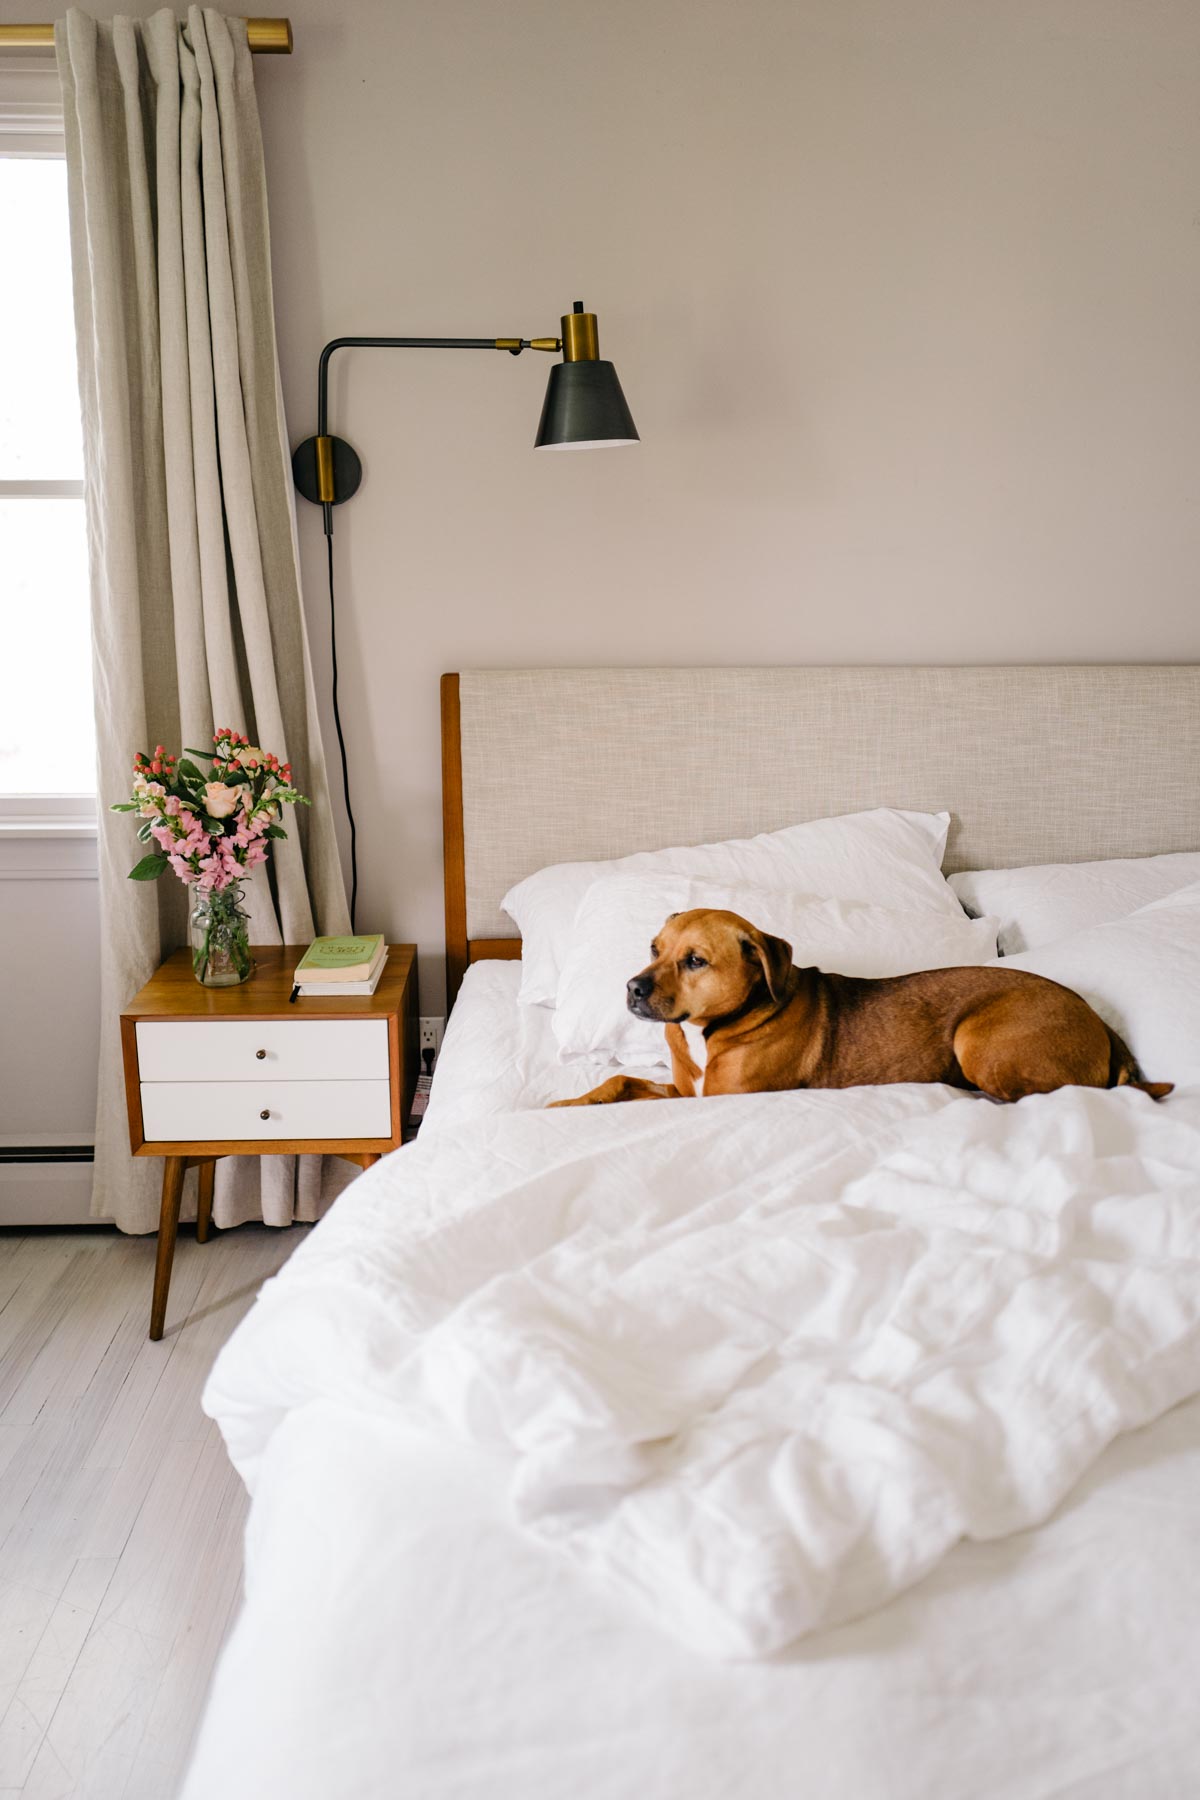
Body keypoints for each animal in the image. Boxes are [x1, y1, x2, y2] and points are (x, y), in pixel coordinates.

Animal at [554, 914, 1173, 1108]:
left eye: (695, 961)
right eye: (653, 948)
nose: (631, 988)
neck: (714, 1029)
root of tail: (1100, 1022)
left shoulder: (720, 1100)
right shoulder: (685, 1090)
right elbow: (618, 1081)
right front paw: (565, 1102)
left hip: (978, 1038)